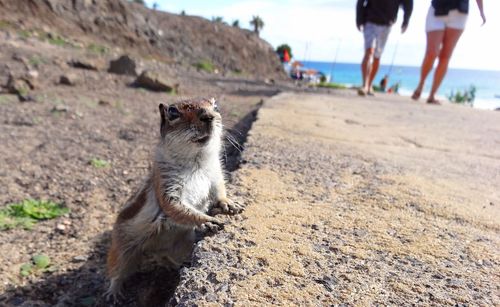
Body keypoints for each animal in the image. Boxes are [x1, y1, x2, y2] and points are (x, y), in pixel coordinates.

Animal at [106, 98, 243, 298]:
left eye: (215, 106)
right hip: (122, 247)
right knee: (117, 269)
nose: (208, 116)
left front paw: (228, 203)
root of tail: (151, 248)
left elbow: (219, 191)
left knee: (165, 256)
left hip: (182, 244)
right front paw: (206, 220)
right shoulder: (167, 187)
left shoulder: (215, 175)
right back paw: (114, 292)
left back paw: (177, 264)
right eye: (173, 112)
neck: (197, 161)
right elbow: (177, 209)